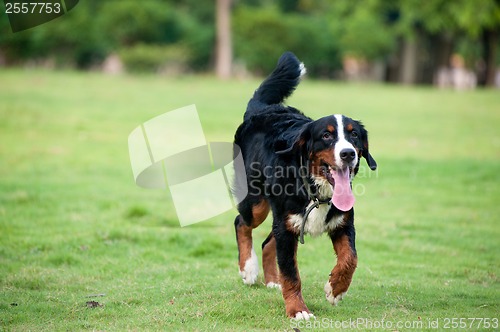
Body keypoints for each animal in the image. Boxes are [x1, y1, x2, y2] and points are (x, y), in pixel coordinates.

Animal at [232, 52, 376, 320]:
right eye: (327, 136)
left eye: (354, 135)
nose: (348, 153)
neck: (316, 190)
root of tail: (263, 109)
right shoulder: (287, 228)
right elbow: (292, 275)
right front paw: (297, 310)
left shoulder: (342, 224)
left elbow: (350, 258)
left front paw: (335, 288)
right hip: (258, 204)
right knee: (241, 223)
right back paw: (248, 268)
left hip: (283, 219)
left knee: (267, 243)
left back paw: (272, 280)